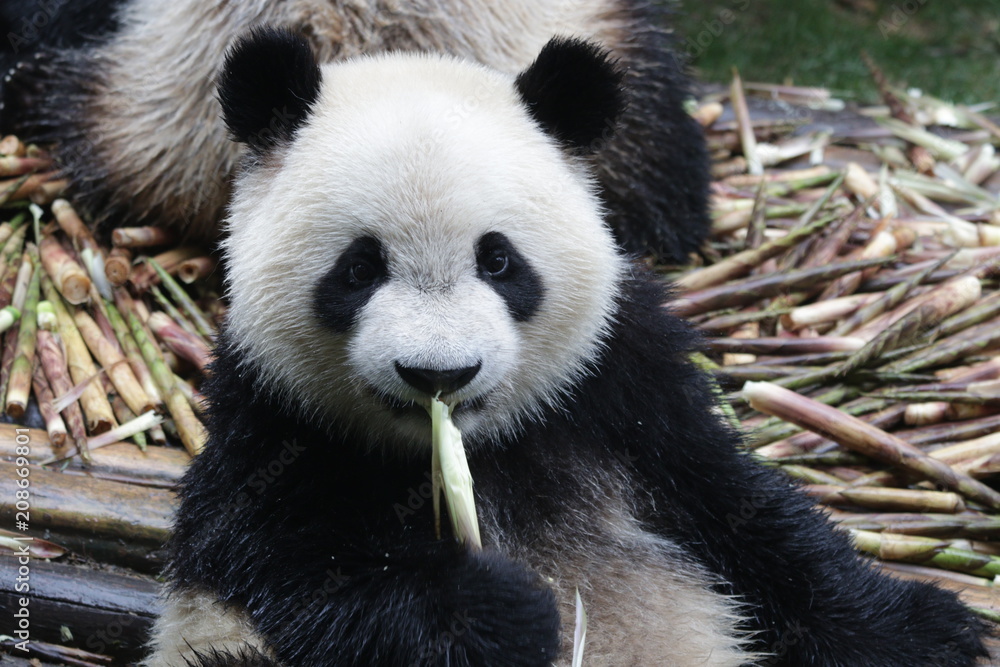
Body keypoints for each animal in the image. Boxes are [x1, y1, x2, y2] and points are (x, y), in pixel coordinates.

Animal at [140, 27, 987, 667]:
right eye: (359, 268)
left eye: (498, 260)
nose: (439, 373)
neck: (477, 448)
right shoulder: (271, 420)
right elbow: (288, 559)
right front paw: (501, 613)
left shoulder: (617, 382)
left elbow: (743, 506)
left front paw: (926, 626)